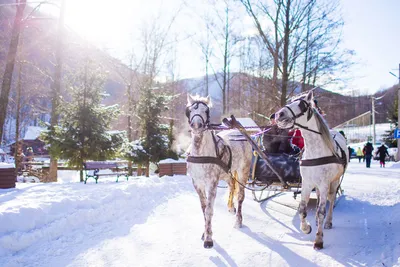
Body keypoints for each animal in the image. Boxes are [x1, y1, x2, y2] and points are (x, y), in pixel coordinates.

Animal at [186, 94, 252, 249]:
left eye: (206, 111)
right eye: (190, 110)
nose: (196, 125)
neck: (201, 153)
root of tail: (238, 132)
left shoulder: (212, 183)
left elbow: (209, 210)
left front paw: (208, 239)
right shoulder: (197, 183)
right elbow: (204, 208)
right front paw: (205, 232)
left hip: (243, 172)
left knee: (240, 196)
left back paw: (238, 221)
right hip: (228, 174)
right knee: (232, 186)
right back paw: (231, 208)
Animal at [276, 91, 346, 250]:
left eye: (302, 105)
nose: (278, 114)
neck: (315, 152)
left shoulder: (325, 183)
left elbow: (321, 211)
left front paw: (319, 240)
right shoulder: (307, 183)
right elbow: (302, 209)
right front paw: (306, 228)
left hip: (334, 181)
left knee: (331, 199)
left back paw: (328, 222)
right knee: (320, 197)